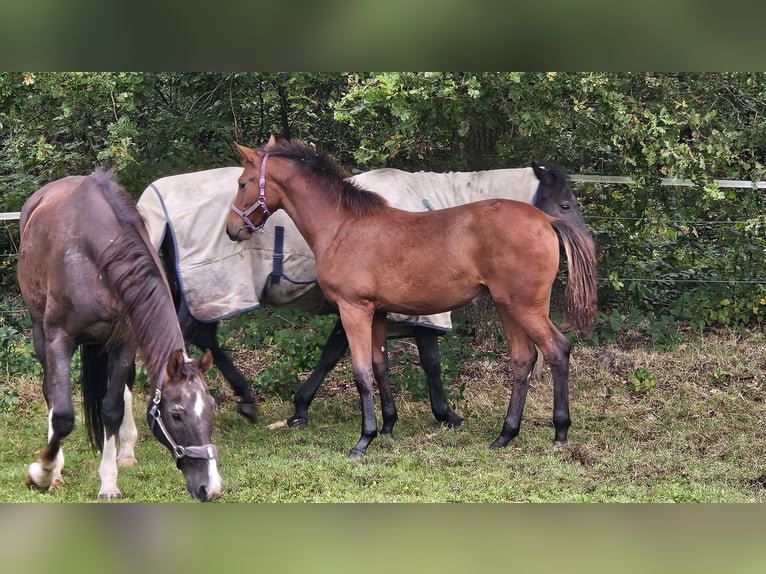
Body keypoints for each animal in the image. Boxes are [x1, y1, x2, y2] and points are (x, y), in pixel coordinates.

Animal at [18, 169, 222, 502]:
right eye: (177, 414)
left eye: (211, 410)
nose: (210, 487)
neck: (98, 254)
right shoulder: (59, 338)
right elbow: (62, 414)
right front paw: (44, 472)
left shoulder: (126, 340)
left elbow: (112, 408)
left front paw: (109, 482)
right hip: (39, 330)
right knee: (50, 391)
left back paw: (126, 452)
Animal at [226, 138, 600, 460]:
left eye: (243, 183)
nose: (231, 229)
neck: (343, 227)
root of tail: (546, 220)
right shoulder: (377, 312)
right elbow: (380, 366)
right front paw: (387, 427)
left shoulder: (354, 309)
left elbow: (362, 372)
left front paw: (363, 440)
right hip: (507, 306)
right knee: (523, 359)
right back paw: (504, 436)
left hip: (523, 306)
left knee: (557, 350)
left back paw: (559, 434)